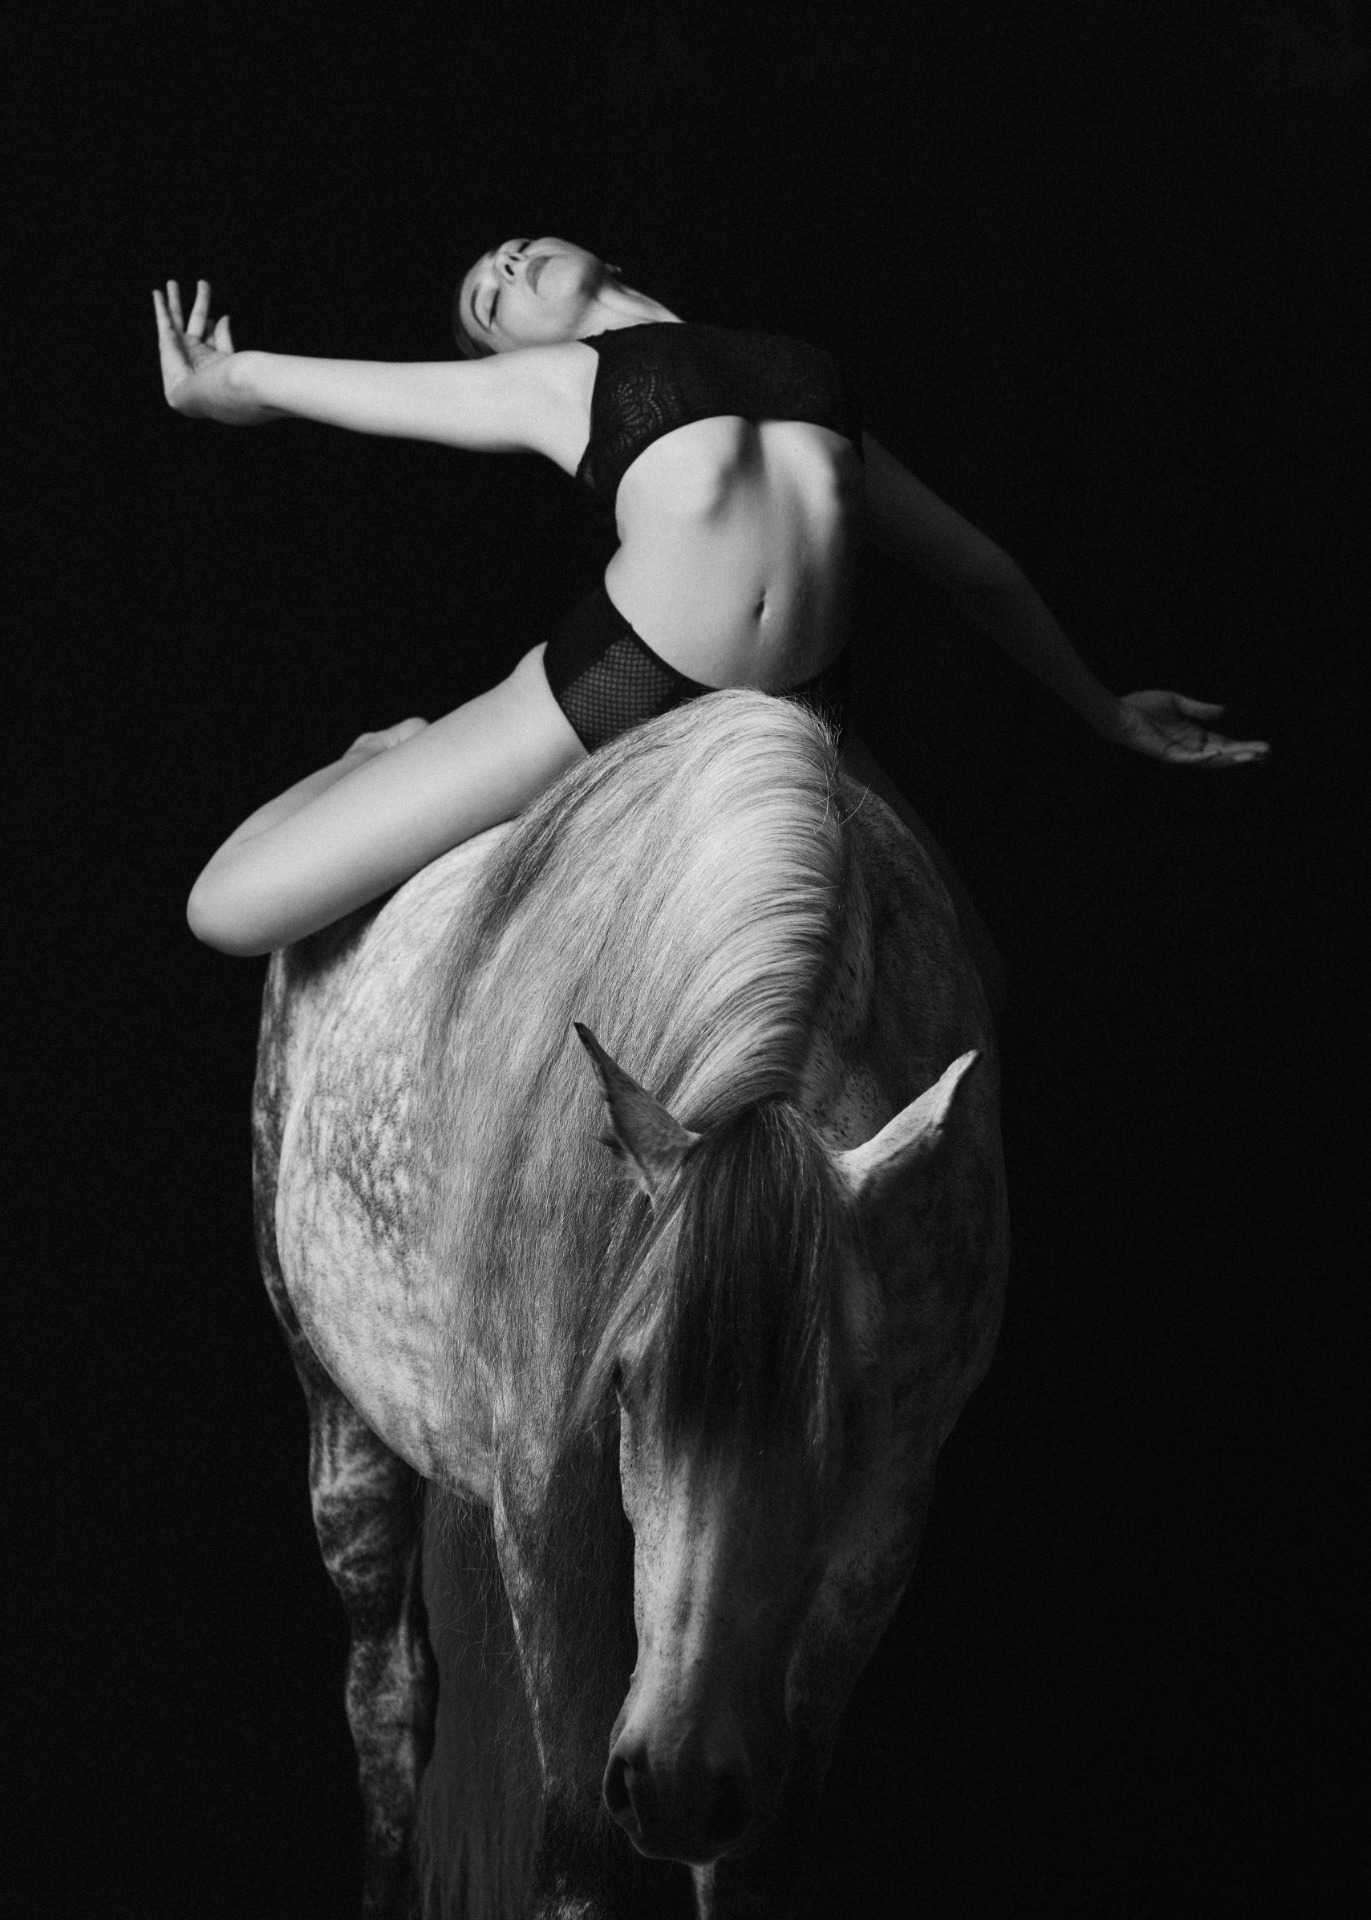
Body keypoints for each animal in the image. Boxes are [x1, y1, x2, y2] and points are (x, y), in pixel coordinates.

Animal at [250, 690, 1009, 1919]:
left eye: (851, 1406)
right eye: (620, 1383)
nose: (677, 1782)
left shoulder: (882, 1521)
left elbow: (757, 1856)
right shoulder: (544, 1497)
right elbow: (578, 1854)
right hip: (341, 1426)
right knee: (386, 1706)